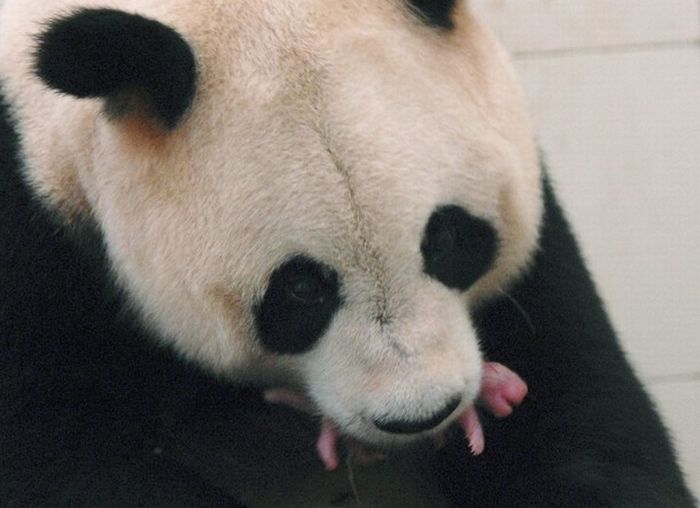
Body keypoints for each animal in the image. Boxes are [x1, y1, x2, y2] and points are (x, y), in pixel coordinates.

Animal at [0, 0, 696, 506]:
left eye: (447, 239)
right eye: (301, 289)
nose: (422, 414)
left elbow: (584, 419)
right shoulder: (34, 249)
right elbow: (62, 454)